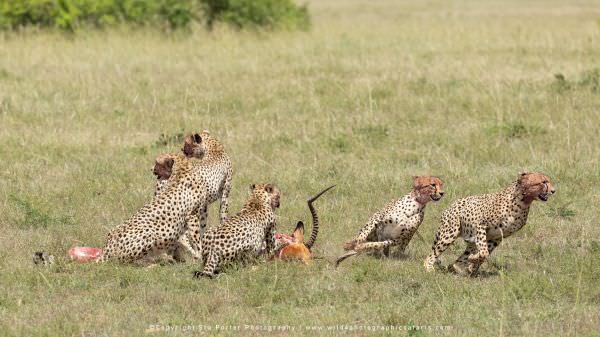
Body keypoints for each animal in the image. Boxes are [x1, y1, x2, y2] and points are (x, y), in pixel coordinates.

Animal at [424, 169, 556, 274]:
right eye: (544, 182)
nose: (553, 191)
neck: (522, 201)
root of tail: (451, 205)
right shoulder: (481, 226)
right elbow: (484, 252)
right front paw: (473, 262)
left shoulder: (496, 237)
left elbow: (484, 254)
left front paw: (473, 265)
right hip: (449, 234)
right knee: (432, 254)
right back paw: (429, 268)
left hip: (470, 241)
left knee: (457, 261)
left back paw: (459, 269)